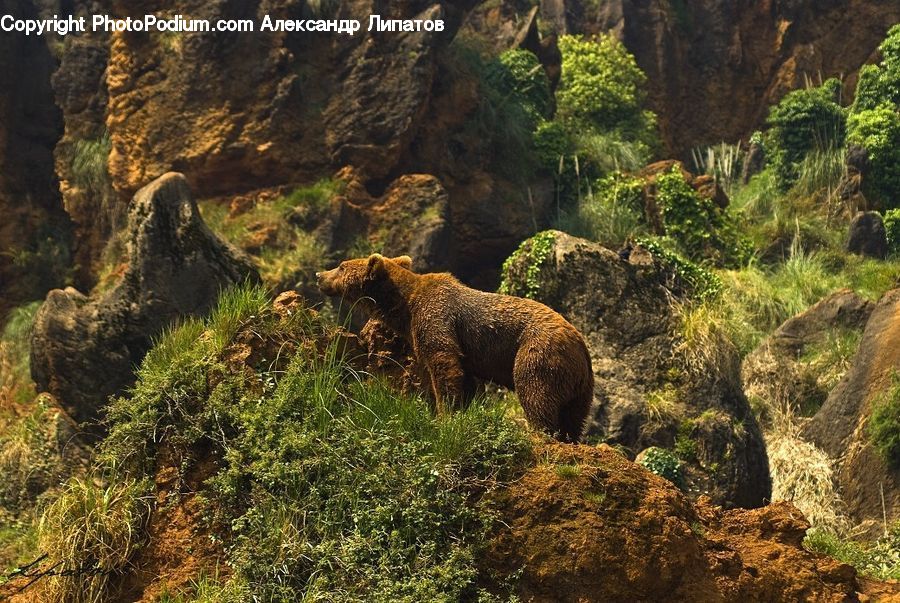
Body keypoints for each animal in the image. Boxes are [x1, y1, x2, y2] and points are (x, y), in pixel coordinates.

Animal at [316, 253, 594, 443]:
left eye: (341, 266)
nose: (319, 275)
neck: (405, 306)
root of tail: (579, 344)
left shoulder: (436, 317)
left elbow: (443, 362)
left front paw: (444, 415)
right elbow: (465, 378)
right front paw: (464, 409)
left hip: (538, 352)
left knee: (536, 393)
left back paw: (540, 433)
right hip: (579, 383)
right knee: (574, 415)